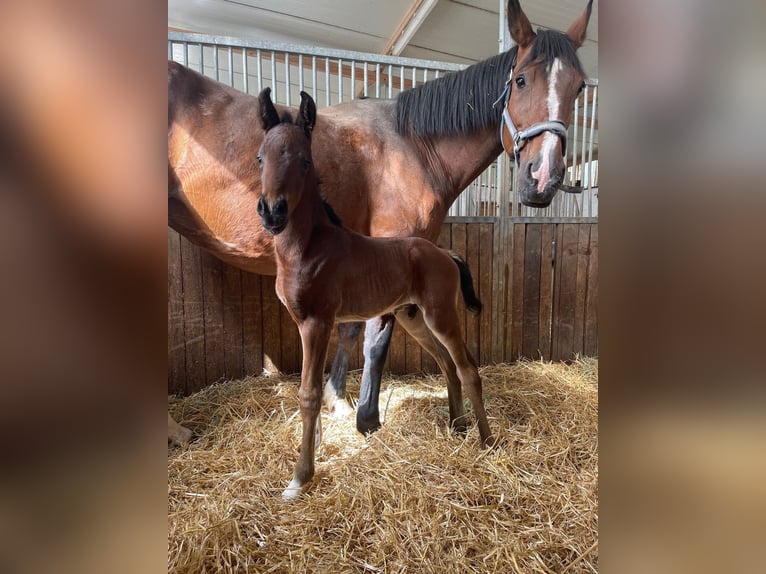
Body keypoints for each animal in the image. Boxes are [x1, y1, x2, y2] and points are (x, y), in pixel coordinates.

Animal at [170, 0, 592, 440]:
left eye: (579, 87)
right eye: (521, 80)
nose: (542, 178)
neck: (414, 146)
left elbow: (352, 328)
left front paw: (339, 399)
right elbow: (375, 338)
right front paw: (367, 417)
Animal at [260, 88, 498, 502]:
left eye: (305, 161)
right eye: (260, 157)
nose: (272, 212)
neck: (308, 247)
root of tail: (444, 253)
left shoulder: (317, 322)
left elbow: (309, 393)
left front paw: (300, 477)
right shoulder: (304, 323)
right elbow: (311, 389)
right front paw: (316, 448)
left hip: (440, 313)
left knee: (467, 366)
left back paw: (485, 440)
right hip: (411, 316)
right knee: (447, 364)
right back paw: (457, 424)